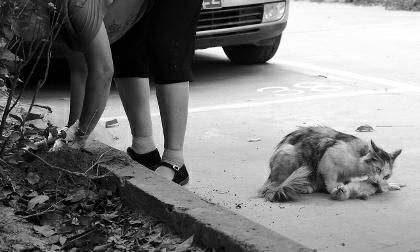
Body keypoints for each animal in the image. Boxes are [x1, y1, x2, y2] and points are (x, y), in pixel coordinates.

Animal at [260, 127, 404, 202]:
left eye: (386, 176)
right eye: (378, 169)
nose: (379, 181)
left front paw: (389, 185)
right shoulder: (328, 160)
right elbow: (330, 180)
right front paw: (336, 189)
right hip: (289, 153)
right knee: (278, 186)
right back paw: (303, 186)